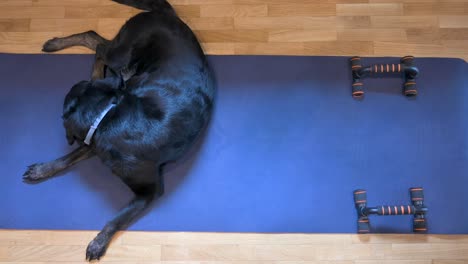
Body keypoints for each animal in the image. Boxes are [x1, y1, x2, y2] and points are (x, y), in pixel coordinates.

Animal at [22, 0, 216, 260]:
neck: (105, 115)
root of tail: (166, 15)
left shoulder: (148, 190)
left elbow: (117, 219)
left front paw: (98, 243)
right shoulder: (94, 142)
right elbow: (67, 158)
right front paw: (42, 170)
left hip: (120, 55)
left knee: (97, 44)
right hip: (122, 55)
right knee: (95, 42)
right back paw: (60, 46)